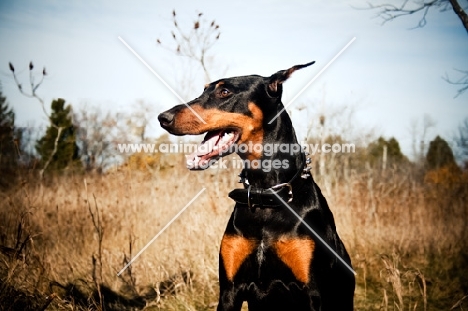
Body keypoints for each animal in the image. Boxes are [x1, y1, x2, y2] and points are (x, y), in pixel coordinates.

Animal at [157, 62, 354, 310]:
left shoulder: (314, 294)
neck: (266, 195)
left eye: (225, 92)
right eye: (203, 90)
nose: (163, 117)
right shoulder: (229, 290)